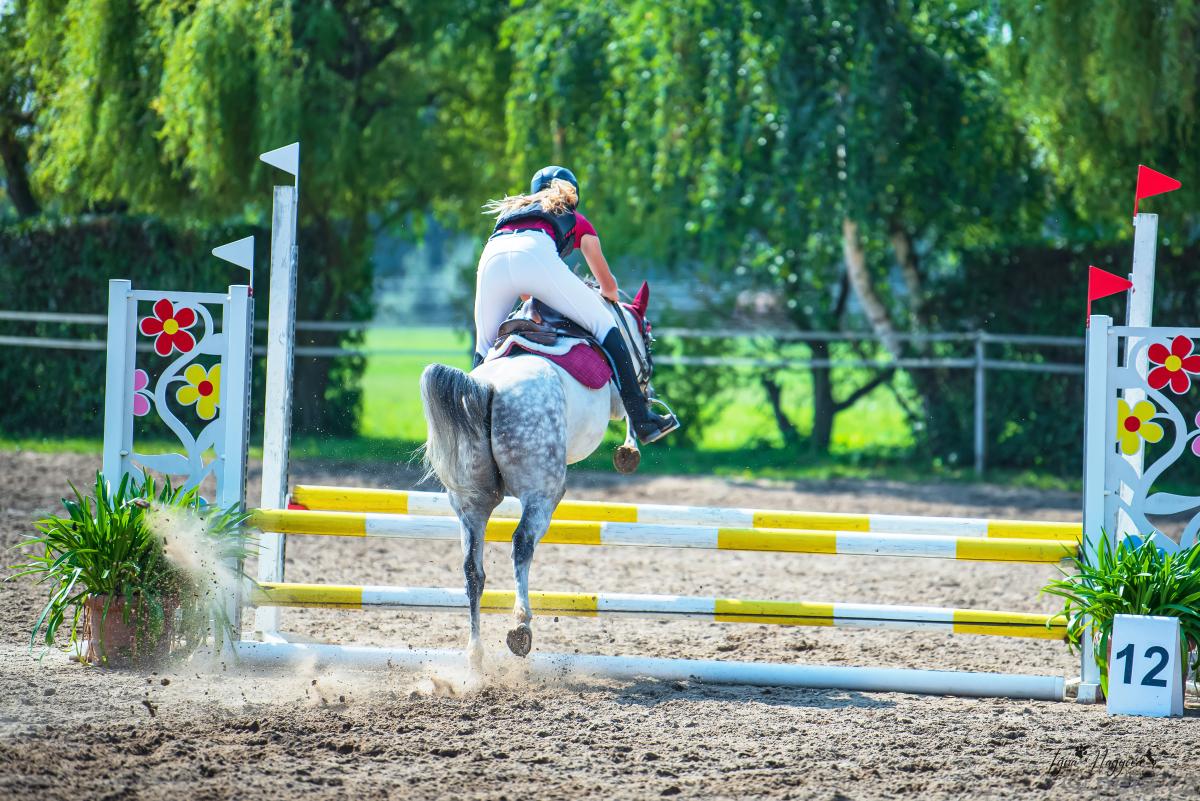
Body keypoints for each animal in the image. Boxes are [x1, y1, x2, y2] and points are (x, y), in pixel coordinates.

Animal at [419, 282, 657, 669]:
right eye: (648, 336)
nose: (648, 378)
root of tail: (488, 389)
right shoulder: (617, 399)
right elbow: (628, 410)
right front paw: (632, 446)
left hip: (470, 501)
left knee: (472, 569)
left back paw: (475, 655)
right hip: (542, 493)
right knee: (522, 544)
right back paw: (520, 626)